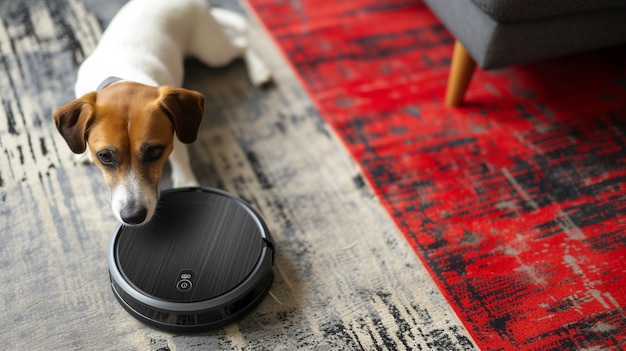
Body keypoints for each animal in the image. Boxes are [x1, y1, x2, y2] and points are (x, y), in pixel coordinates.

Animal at [51, 0, 270, 226]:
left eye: (155, 151)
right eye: (104, 156)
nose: (133, 217)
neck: (122, 74)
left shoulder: (179, 127)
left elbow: (180, 155)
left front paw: (185, 180)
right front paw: (84, 152)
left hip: (212, 51)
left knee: (242, 44)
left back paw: (259, 70)